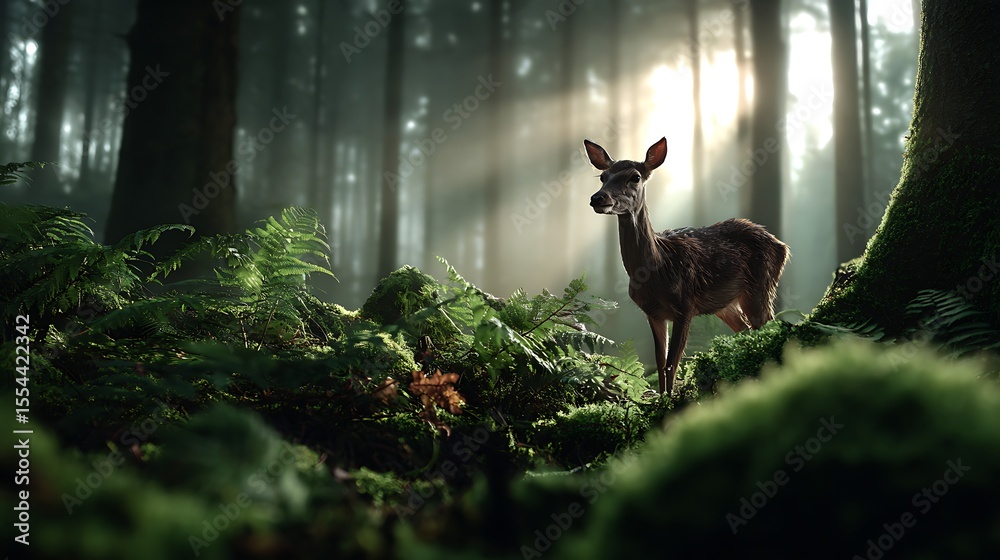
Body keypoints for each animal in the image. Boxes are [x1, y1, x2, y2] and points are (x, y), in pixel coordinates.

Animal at [585, 137, 789, 395]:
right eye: (603, 177)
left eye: (635, 177)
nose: (598, 198)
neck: (659, 266)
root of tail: (782, 246)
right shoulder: (653, 313)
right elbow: (660, 361)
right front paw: (661, 396)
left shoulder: (685, 305)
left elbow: (672, 362)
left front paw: (670, 399)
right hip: (726, 305)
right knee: (746, 329)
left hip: (761, 285)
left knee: (769, 326)